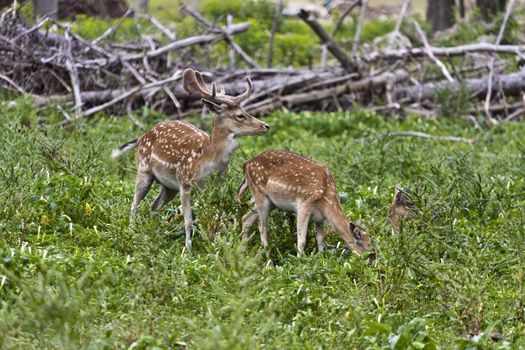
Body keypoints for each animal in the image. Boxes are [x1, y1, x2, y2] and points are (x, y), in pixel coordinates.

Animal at [113, 67, 270, 252]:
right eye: (240, 115)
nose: (265, 125)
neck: (208, 160)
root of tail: (142, 136)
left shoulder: (215, 186)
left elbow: (216, 214)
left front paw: (218, 242)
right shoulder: (185, 182)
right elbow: (188, 221)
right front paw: (188, 251)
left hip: (168, 186)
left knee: (154, 206)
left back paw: (154, 233)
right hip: (144, 170)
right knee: (134, 203)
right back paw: (132, 232)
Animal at [235, 150, 370, 254]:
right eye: (368, 246)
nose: (372, 262)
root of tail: (246, 165)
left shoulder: (319, 218)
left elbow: (320, 239)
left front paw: (321, 256)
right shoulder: (304, 205)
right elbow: (301, 240)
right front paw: (301, 260)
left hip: (268, 202)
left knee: (246, 218)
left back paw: (241, 254)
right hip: (260, 194)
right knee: (262, 227)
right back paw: (269, 261)